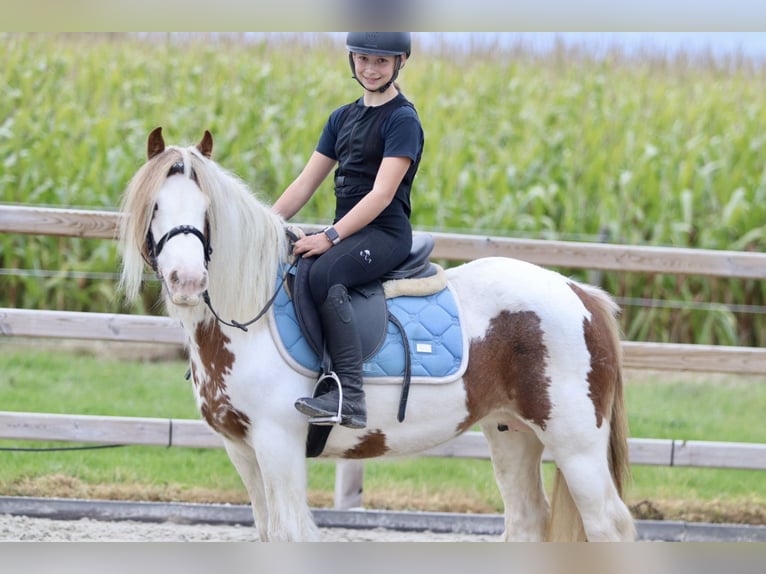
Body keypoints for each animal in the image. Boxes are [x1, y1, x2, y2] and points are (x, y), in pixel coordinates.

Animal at [120, 128, 636, 544]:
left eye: (207, 209)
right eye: (155, 207)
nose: (188, 281)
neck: (252, 316)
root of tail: (579, 293)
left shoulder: (277, 442)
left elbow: (291, 533)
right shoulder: (241, 449)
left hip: (576, 445)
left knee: (609, 526)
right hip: (512, 433)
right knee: (527, 521)